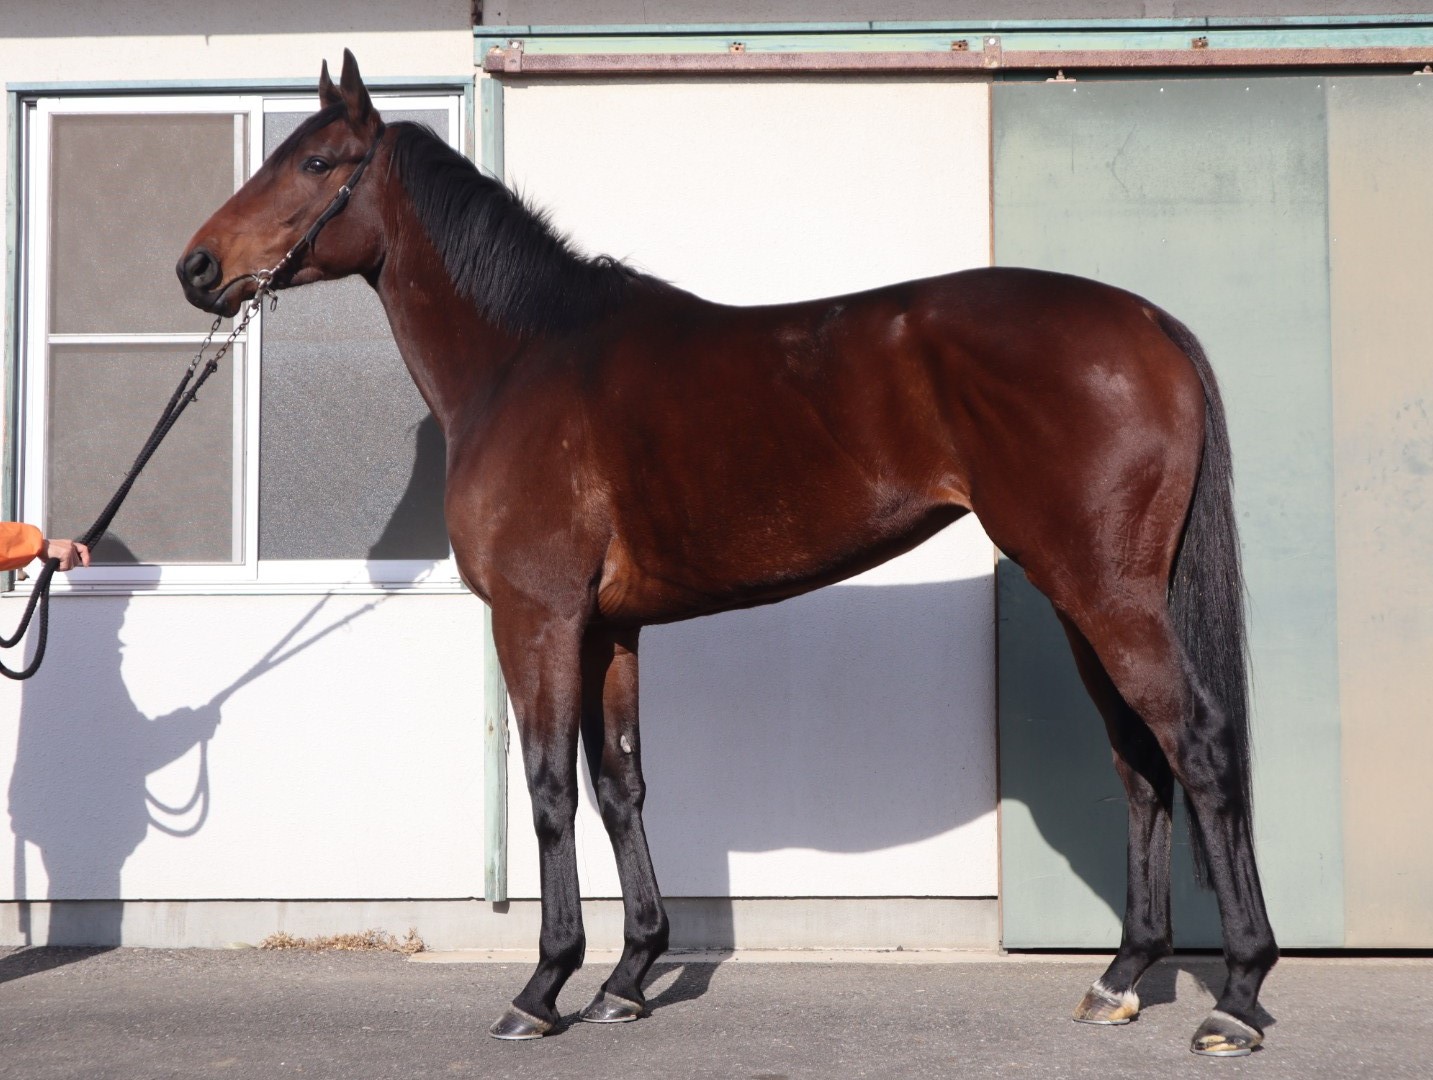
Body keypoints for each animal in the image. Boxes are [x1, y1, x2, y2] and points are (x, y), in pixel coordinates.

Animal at [178, 51, 1277, 1057]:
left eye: (314, 160)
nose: (196, 268)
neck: (526, 357)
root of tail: (1147, 322)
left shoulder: (538, 618)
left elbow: (548, 790)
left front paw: (542, 988)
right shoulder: (610, 628)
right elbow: (619, 785)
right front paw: (627, 977)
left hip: (1102, 592)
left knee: (1197, 742)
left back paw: (1234, 995)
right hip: (1083, 595)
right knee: (1137, 759)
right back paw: (1119, 978)